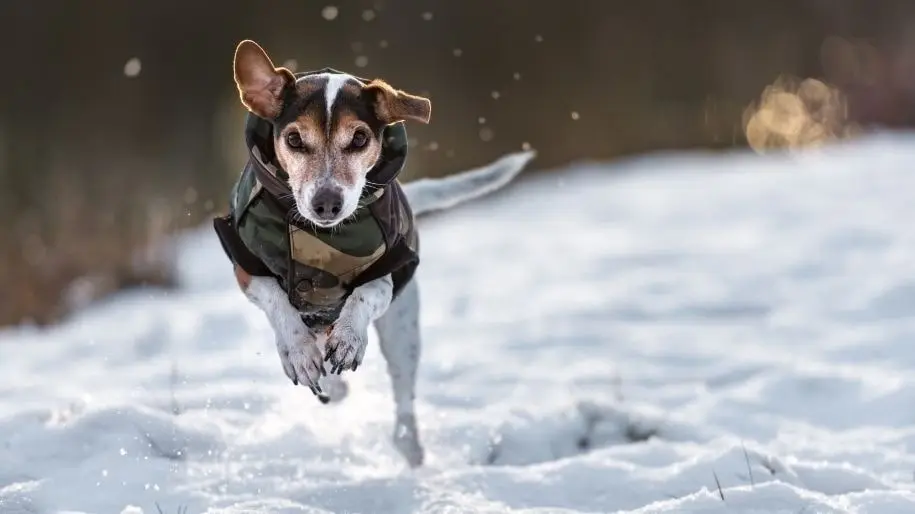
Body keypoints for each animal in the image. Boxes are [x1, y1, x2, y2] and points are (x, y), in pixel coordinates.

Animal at [216, 40, 536, 464]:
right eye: (295, 140)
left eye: (359, 139)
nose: (327, 203)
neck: (322, 236)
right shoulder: (247, 269)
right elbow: (278, 303)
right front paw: (299, 351)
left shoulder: (389, 273)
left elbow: (364, 295)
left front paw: (350, 338)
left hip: (403, 331)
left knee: (402, 401)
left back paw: (408, 446)